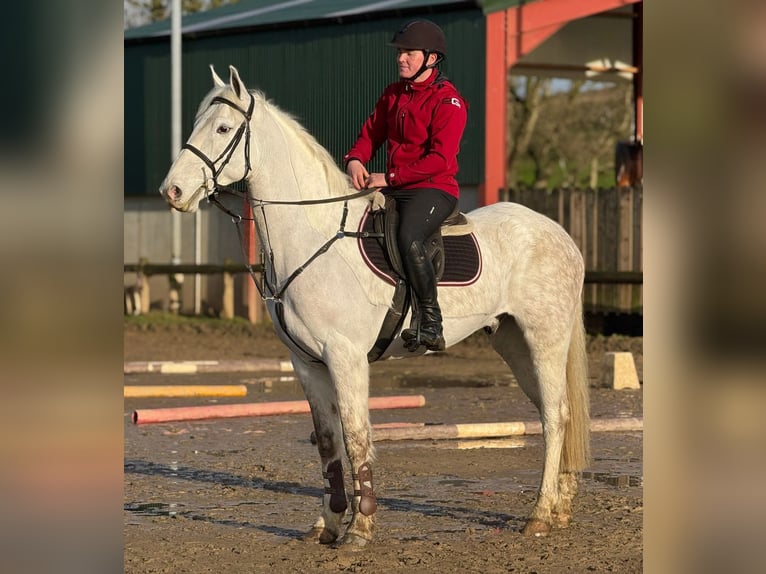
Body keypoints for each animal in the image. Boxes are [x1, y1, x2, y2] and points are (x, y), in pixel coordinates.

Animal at [159, 65, 590, 547]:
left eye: (222, 128)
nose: (171, 190)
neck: (312, 236)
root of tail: (559, 234)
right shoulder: (307, 364)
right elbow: (328, 441)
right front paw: (328, 524)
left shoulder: (345, 357)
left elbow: (356, 436)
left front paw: (360, 529)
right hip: (513, 344)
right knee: (556, 414)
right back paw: (561, 507)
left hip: (544, 340)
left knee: (555, 416)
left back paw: (540, 514)